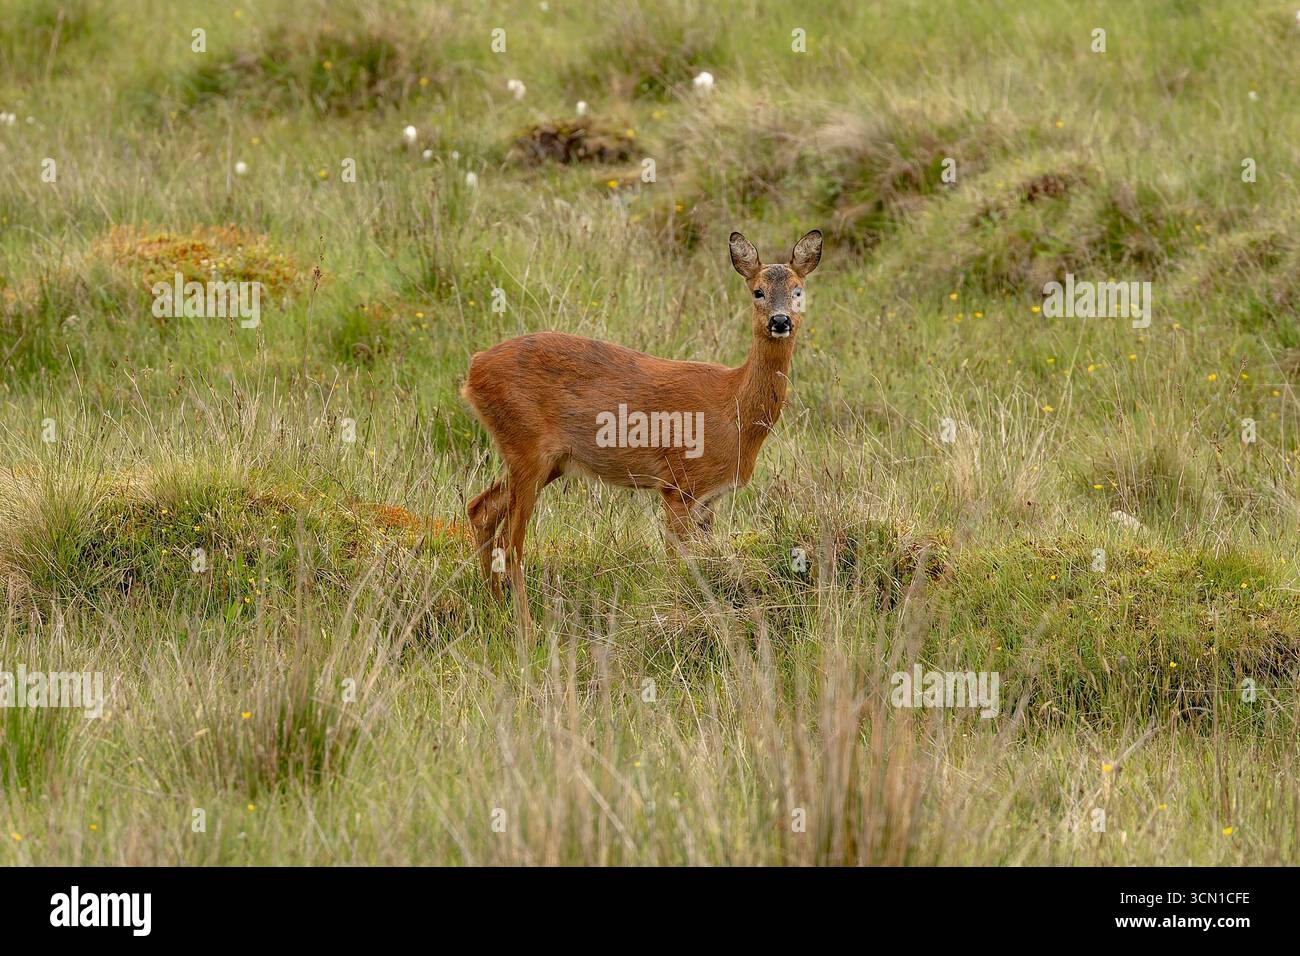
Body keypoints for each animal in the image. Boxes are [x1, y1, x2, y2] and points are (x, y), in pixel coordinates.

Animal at [461, 229, 822, 633]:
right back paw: (526, 627)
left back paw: (495, 608)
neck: (735, 409)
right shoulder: (679, 484)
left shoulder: (710, 498)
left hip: (547, 461)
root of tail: (474, 369)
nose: (780, 321)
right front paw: (676, 614)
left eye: (798, 290)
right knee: (512, 542)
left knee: (481, 510)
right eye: (757, 291)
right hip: (526, 446)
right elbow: (676, 564)